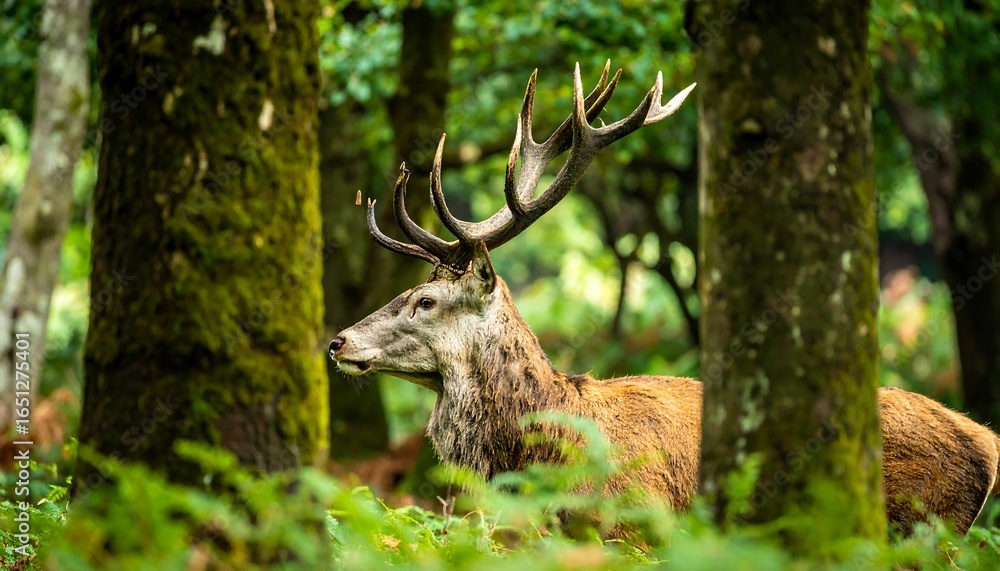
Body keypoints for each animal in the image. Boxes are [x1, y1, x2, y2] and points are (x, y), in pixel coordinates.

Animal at [329, 62, 1000, 535]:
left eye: (425, 301)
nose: (337, 340)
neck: (550, 459)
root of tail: (988, 444)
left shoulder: (636, 529)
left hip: (925, 526)